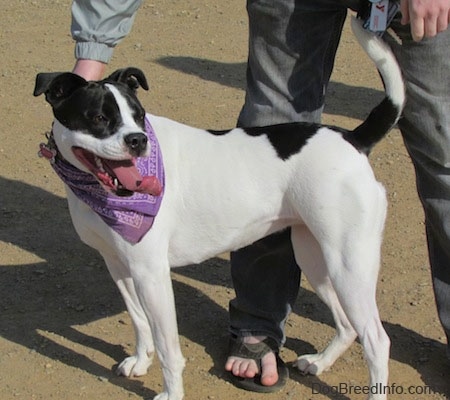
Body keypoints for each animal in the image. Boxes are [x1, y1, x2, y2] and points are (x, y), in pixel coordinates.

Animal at [32, 19, 404, 400]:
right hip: (316, 258)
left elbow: (168, 349)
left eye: (139, 116)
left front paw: (172, 393)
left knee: (377, 340)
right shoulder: (119, 265)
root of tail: (352, 139)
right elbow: (139, 321)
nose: (138, 140)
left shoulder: (152, 274)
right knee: (347, 325)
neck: (99, 191)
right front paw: (140, 361)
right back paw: (319, 362)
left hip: (349, 265)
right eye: (98, 117)